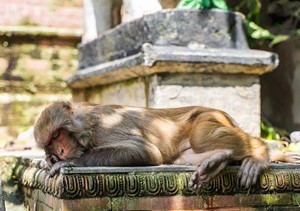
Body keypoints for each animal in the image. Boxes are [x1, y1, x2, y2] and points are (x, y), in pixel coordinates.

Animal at [34, 101, 270, 189]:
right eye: (50, 143)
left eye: (57, 134)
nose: (61, 151)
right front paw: (50, 160)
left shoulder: (104, 125)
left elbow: (145, 151)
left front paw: (71, 162)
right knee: (183, 156)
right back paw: (219, 159)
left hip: (210, 116)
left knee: (200, 138)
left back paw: (259, 152)